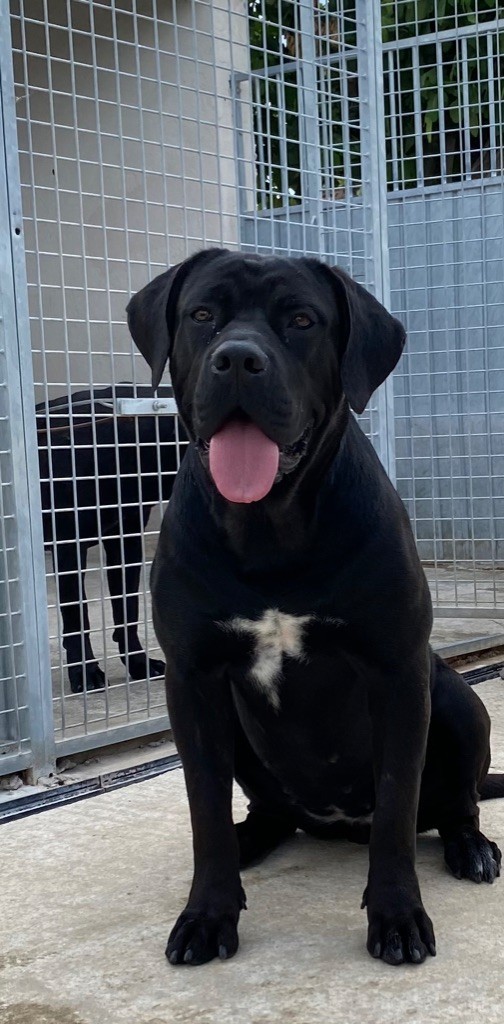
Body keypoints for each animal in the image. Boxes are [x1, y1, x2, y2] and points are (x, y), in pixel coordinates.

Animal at [37, 383, 185, 693]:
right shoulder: (69, 547)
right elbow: (77, 615)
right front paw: (86, 672)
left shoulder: (125, 541)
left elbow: (127, 609)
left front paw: (138, 664)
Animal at [127, 248, 504, 967]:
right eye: (202, 314)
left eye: (301, 320)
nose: (237, 359)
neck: (270, 530)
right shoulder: (193, 681)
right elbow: (203, 809)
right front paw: (208, 914)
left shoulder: (397, 673)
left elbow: (395, 808)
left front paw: (397, 915)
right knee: (261, 813)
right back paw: (248, 843)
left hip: (456, 700)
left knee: (456, 800)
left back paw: (470, 846)